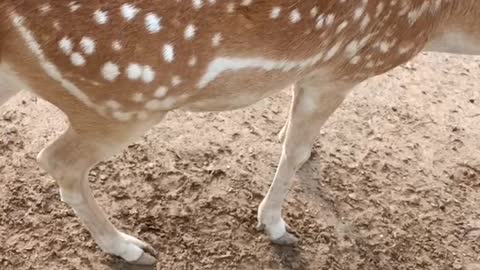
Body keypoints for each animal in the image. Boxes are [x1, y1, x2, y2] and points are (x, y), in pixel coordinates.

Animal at [0, 0, 478, 266]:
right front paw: (276, 225)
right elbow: (295, 149)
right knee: (57, 160)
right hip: (124, 101)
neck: (441, 26)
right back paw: (131, 248)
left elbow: (296, 136)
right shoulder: (345, 66)